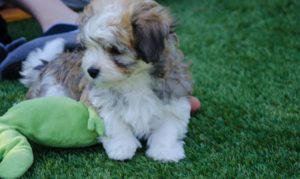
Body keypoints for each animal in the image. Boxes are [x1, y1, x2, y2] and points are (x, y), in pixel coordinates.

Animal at [21, 0, 195, 162]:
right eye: (87, 47)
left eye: (114, 50)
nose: (91, 71)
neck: (134, 78)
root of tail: (47, 64)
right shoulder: (102, 101)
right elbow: (116, 124)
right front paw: (121, 147)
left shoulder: (173, 97)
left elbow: (169, 126)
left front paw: (165, 150)